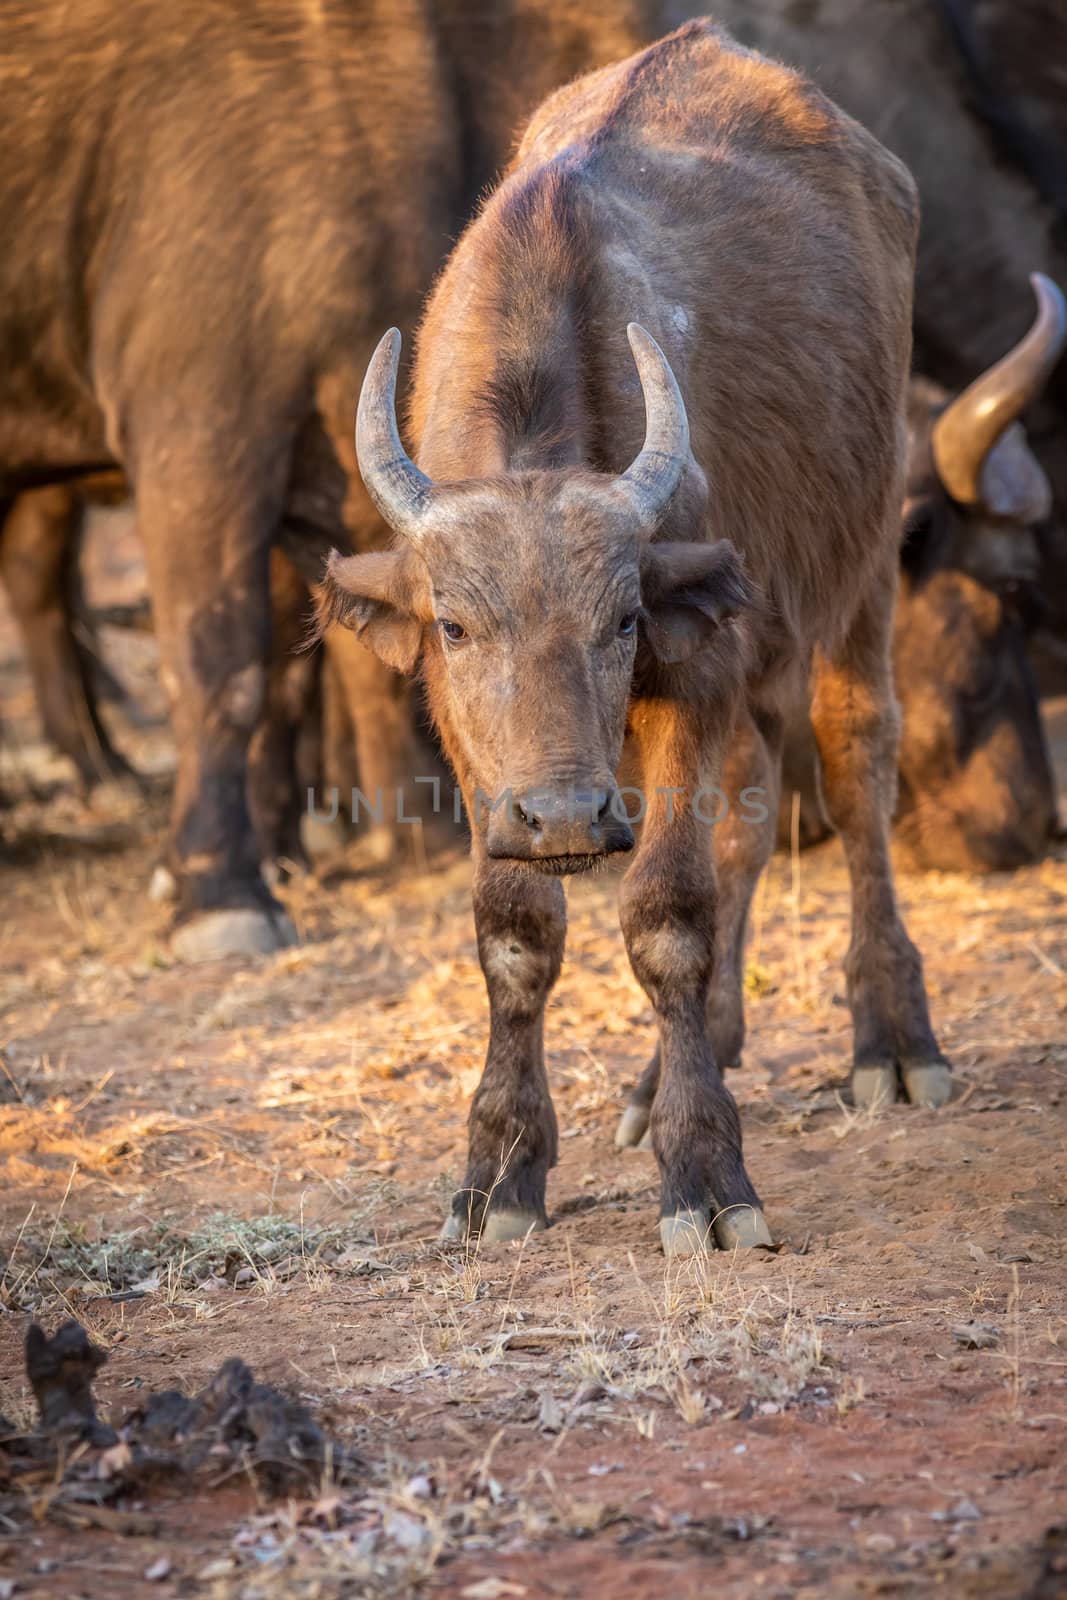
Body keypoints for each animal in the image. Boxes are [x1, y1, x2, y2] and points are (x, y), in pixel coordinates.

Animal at [326, 18, 953, 1254]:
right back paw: (668, 1068)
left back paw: (892, 1039)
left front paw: (704, 1173)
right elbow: (515, 929)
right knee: (750, 813)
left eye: (619, 619)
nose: (569, 816)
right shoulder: (478, 751)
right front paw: (501, 1167)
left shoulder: (693, 671)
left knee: (855, 759)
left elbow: (666, 914)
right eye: (456, 625)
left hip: (859, 559)